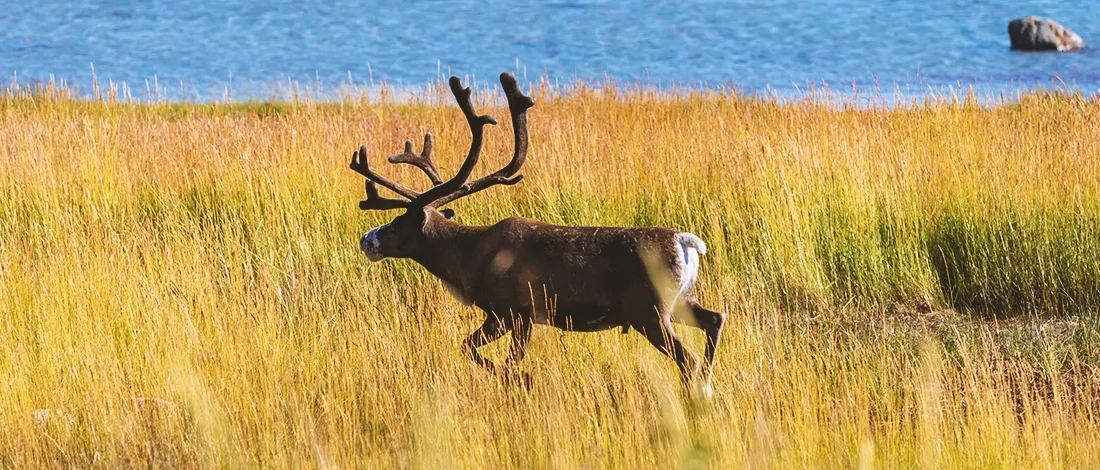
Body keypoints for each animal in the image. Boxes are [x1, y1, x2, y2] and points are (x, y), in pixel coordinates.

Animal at [350, 72, 725, 392]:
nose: (367, 239)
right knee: (715, 318)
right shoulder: (515, 316)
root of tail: (685, 242)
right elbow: (471, 348)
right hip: (681, 300)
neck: (467, 256)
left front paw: (521, 380)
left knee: (689, 359)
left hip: (650, 311)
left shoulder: (513, 312)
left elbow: (481, 352)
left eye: (398, 223)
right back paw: (707, 388)